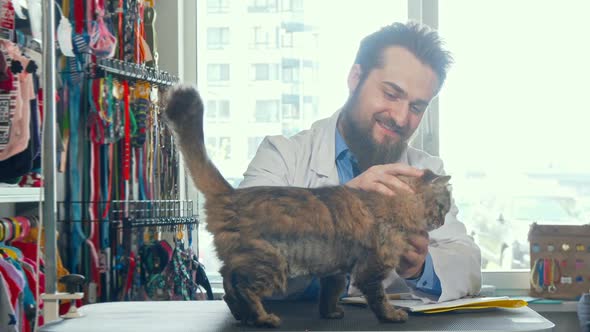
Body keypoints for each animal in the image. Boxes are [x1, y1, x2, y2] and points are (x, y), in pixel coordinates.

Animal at [163, 84, 454, 328]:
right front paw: (392, 314)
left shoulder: (336, 270)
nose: (441, 221)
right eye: (443, 208)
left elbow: (330, 294)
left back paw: (244, 317)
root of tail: (232, 194)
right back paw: (263, 318)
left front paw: (331, 312)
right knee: (242, 289)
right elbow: (379, 298)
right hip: (270, 263)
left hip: (244, 259)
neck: (394, 203)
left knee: (228, 286)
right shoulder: (370, 269)